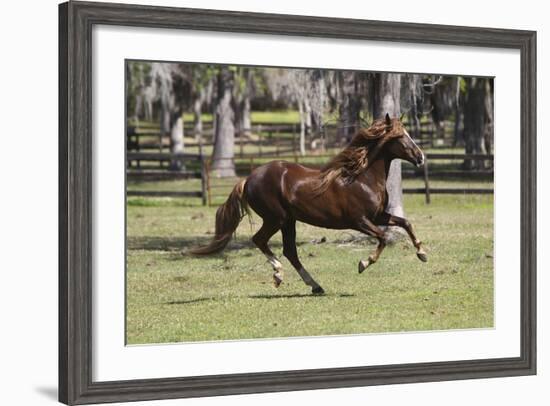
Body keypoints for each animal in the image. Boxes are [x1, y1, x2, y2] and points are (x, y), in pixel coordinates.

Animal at [192, 114, 430, 294]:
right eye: (400, 137)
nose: (421, 157)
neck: (362, 178)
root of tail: (248, 179)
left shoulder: (378, 216)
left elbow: (406, 223)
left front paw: (422, 253)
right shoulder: (360, 221)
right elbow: (382, 238)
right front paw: (363, 263)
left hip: (288, 221)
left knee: (290, 251)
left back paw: (314, 286)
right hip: (276, 219)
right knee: (260, 240)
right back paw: (279, 274)